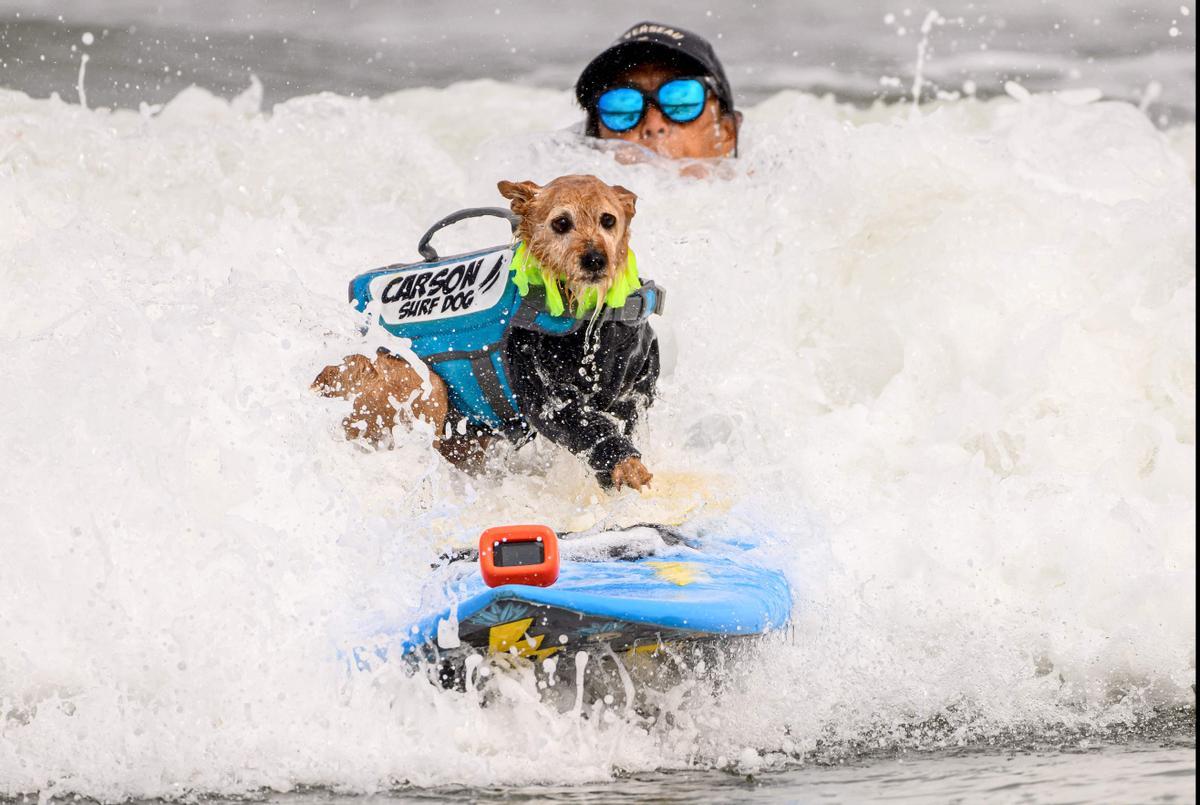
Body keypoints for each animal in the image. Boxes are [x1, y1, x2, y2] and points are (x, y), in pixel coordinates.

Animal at [314, 175, 662, 491]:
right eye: (561, 223)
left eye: (608, 220)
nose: (594, 259)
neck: (592, 320)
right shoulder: (547, 398)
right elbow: (587, 428)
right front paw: (628, 467)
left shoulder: (635, 394)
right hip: (424, 387)